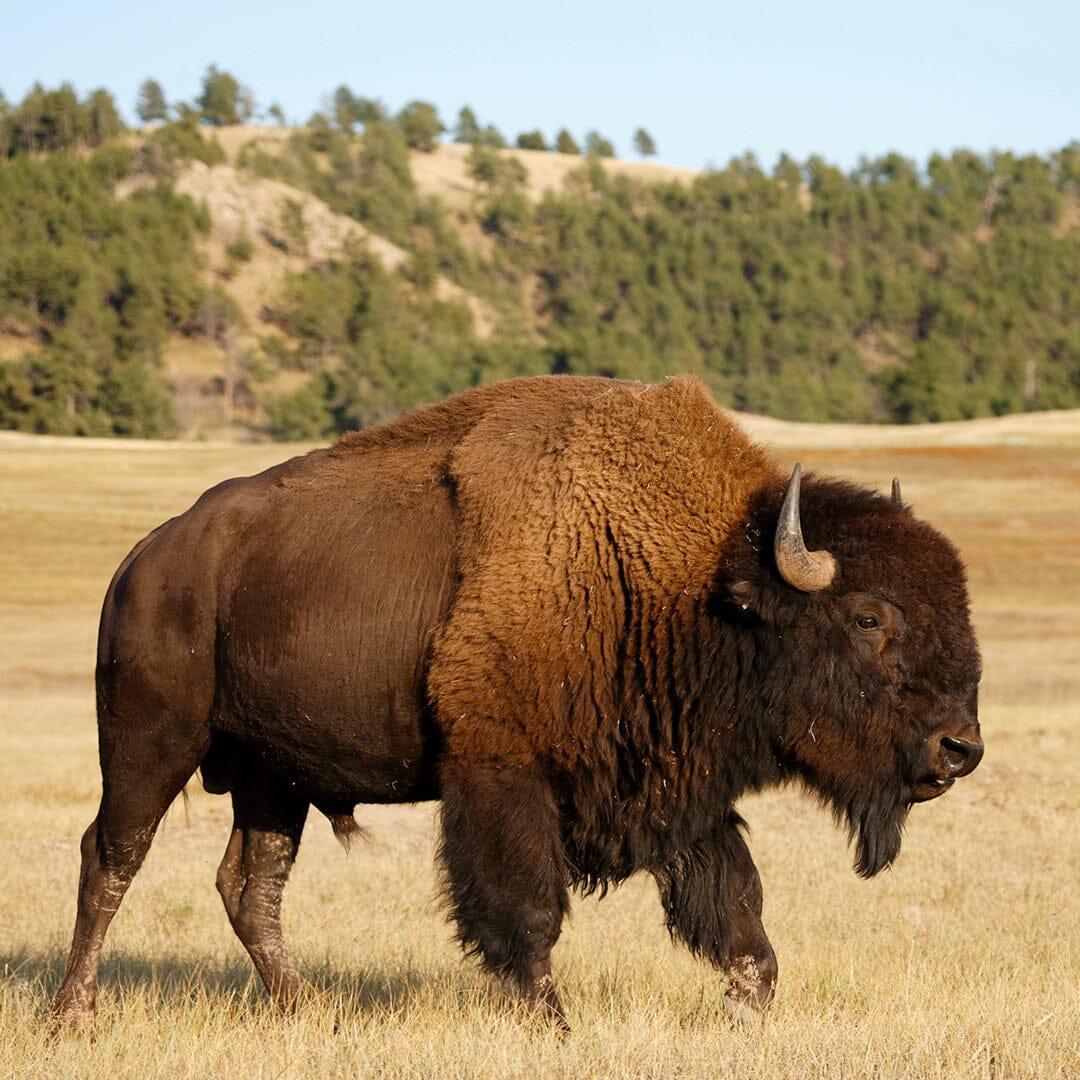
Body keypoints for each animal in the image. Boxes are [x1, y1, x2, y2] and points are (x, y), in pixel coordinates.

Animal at [52, 375, 983, 1029]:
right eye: (869, 618)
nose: (960, 748)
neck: (697, 582)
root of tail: (145, 558)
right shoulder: (501, 776)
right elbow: (527, 911)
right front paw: (553, 1025)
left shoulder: (679, 792)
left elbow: (738, 911)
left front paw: (739, 1008)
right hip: (150, 744)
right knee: (112, 858)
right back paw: (74, 1017)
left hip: (273, 779)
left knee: (251, 886)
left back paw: (305, 1010)